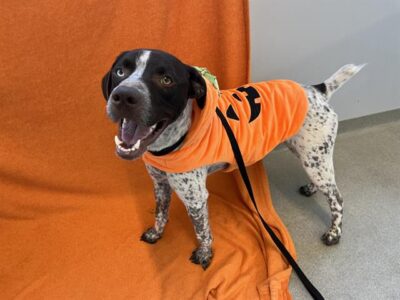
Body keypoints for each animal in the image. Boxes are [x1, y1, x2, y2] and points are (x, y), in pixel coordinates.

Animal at [101, 49, 364, 270]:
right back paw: (311, 189)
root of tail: (317, 90)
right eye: (120, 71)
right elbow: (160, 213)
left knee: (337, 198)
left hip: (314, 157)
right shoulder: (160, 184)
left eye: (166, 80)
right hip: (311, 156)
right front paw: (156, 233)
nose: (123, 96)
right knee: (324, 184)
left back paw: (334, 233)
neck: (170, 143)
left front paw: (205, 255)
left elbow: (202, 231)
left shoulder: (195, 197)